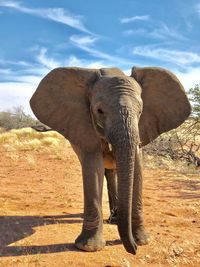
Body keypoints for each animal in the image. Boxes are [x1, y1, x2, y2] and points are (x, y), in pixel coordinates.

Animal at [29, 66, 191, 254]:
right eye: (99, 111)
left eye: (140, 111)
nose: (133, 250)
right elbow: (93, 168)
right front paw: (89, 247)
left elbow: (137, 169)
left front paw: (143, 240)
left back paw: (114, 219)